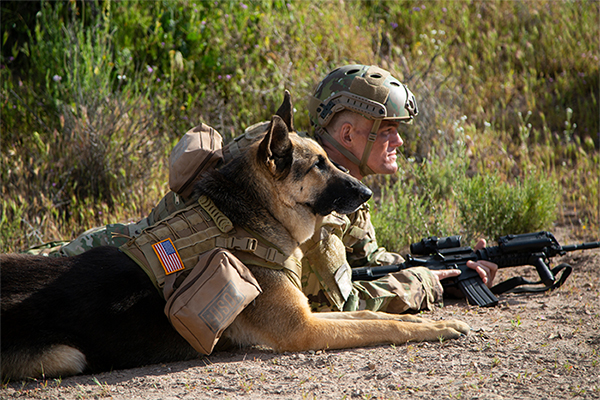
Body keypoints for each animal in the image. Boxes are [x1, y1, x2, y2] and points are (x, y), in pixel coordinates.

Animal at [0, 92, 472, 380]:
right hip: (67, 356)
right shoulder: (304, 331)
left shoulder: (310, 316)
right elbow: (384, 325)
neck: (249, 221)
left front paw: (434, 320)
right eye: (319, 165)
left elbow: (372, 317)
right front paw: (439, 324)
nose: (368, 192)